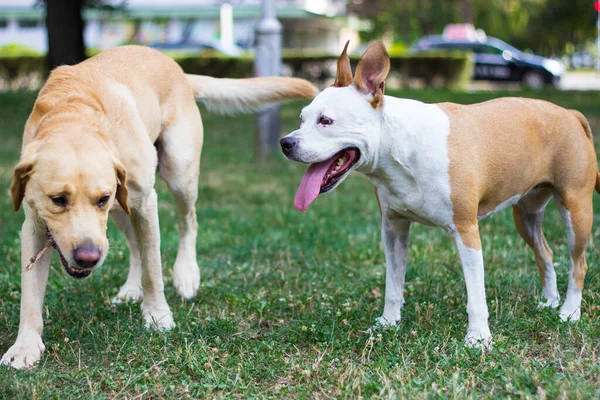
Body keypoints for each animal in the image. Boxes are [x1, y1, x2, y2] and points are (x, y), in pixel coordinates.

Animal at [2, 44, 316, 368]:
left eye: (102, 198)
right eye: (58, 200)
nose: (88, 257)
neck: (75, 114)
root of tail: (175, 67)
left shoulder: (144, 202)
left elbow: (153, 269)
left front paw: (158, 316)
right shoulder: (35, 224)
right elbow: (30, 293)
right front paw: (24, 346)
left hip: (177, 174)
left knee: (188, 221)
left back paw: (186, 274)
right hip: (122, 208)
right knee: (135, 246)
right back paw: (131, 288)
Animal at [278, 40, 596, 346]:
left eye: (326, 121)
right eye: (302, 118)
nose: (286, 143)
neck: (400, 146)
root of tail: (570, 113)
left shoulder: (466, 230)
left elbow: (476, 296)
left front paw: (478, 337)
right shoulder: (393, 228)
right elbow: (393, 283)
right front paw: (388, 322)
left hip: (576, 209)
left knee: (579, 263)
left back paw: (569, 311)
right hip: (526, 215)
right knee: (545, 252)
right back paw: (550, 301)